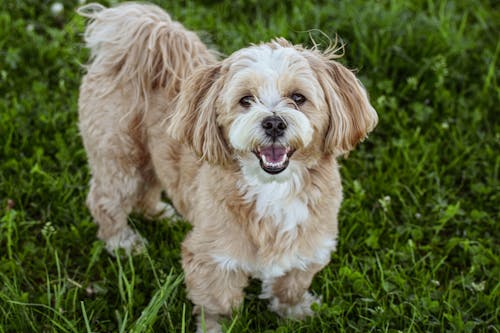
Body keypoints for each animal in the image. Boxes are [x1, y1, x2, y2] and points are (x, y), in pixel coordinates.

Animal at [77, 1, 376, 330]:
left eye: (298, 98)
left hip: (150, 156)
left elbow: (291, 283)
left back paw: (159, 214)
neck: (273, 189)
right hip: (119, 156)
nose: (273, 122)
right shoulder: (213, 258)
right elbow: (216, 303)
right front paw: (215, 326)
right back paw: (122, 243)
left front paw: (295, 311)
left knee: (150, 185)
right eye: (246, 100)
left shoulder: (308, 246)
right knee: (106, 200)